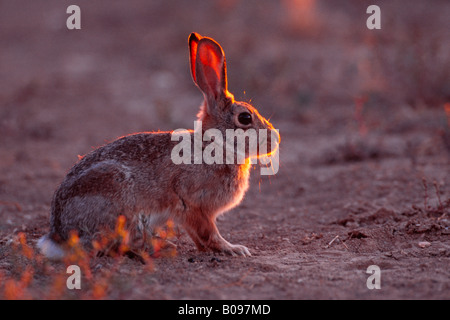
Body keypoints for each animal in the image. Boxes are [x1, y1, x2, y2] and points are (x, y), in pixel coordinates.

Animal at [37, 31, 278, 258]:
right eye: (245, 118)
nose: (275, 140)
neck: (215, 144)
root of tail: (60, 234)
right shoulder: (193, 205)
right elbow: (209, 233)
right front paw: (234, 249)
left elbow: (199, 238)